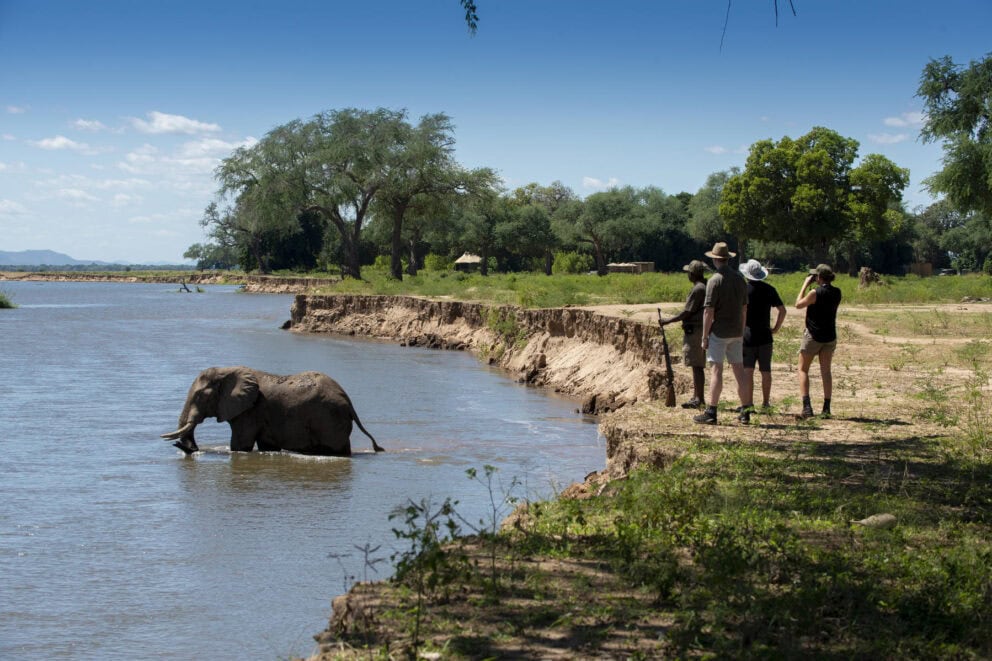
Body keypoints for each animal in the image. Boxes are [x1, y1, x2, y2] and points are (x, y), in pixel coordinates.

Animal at [161, 366, 384, 456]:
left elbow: (240, 445)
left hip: (329, 418)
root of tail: (348, 400)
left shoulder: (250, 411)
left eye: (200, 396)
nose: (181, 446)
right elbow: (266, 445)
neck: (227, 371)